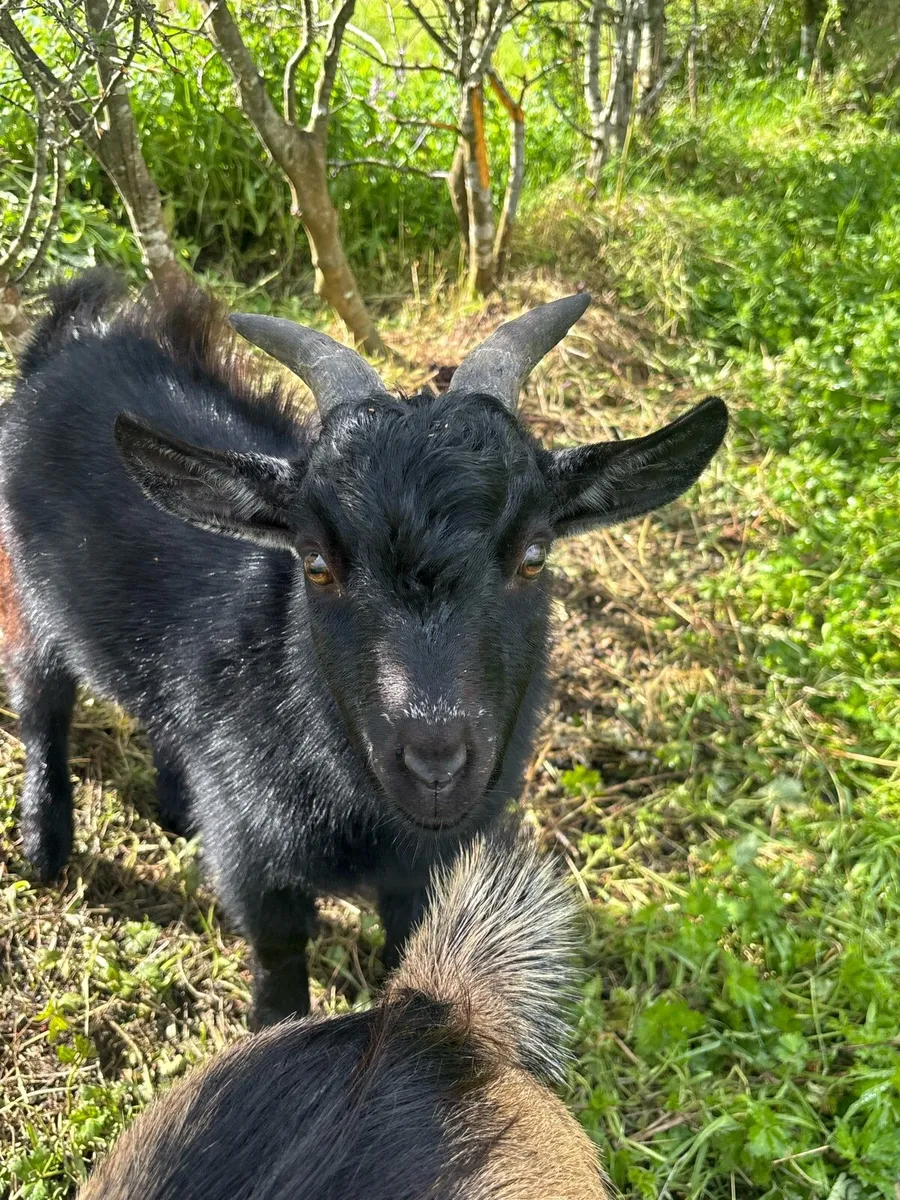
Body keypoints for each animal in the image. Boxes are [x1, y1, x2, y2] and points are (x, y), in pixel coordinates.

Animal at [0, 271, 727, 1023]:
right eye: (316, 562)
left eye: (534, 555)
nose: (435, 763)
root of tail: (66, 343)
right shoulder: (252, 858)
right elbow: (280, 958)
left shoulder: (430, 870)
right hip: (28, 591)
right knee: (40, 699)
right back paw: (44, 842)